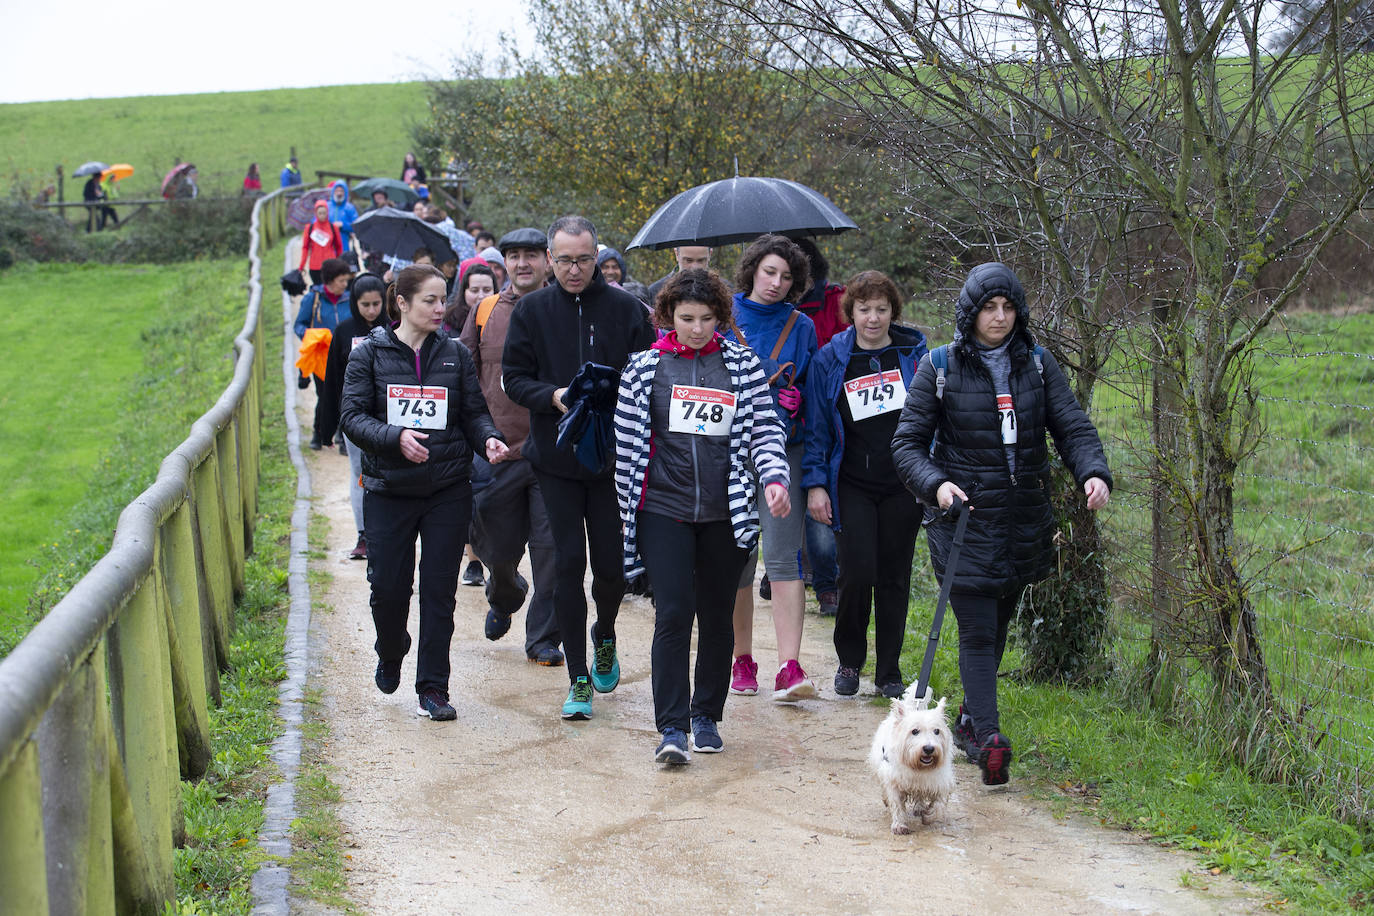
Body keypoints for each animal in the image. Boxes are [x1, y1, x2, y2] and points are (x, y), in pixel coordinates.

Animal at [868, 697, 956, 834]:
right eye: (914, 731)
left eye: (937, 731)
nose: (929, 749)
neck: (918, 766)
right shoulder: (894, 781)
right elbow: (897, 804)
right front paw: (899, 825)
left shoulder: (940, 780)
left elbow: (939, 804)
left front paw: (928, 816)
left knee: (919, 795)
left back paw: (920, 808)